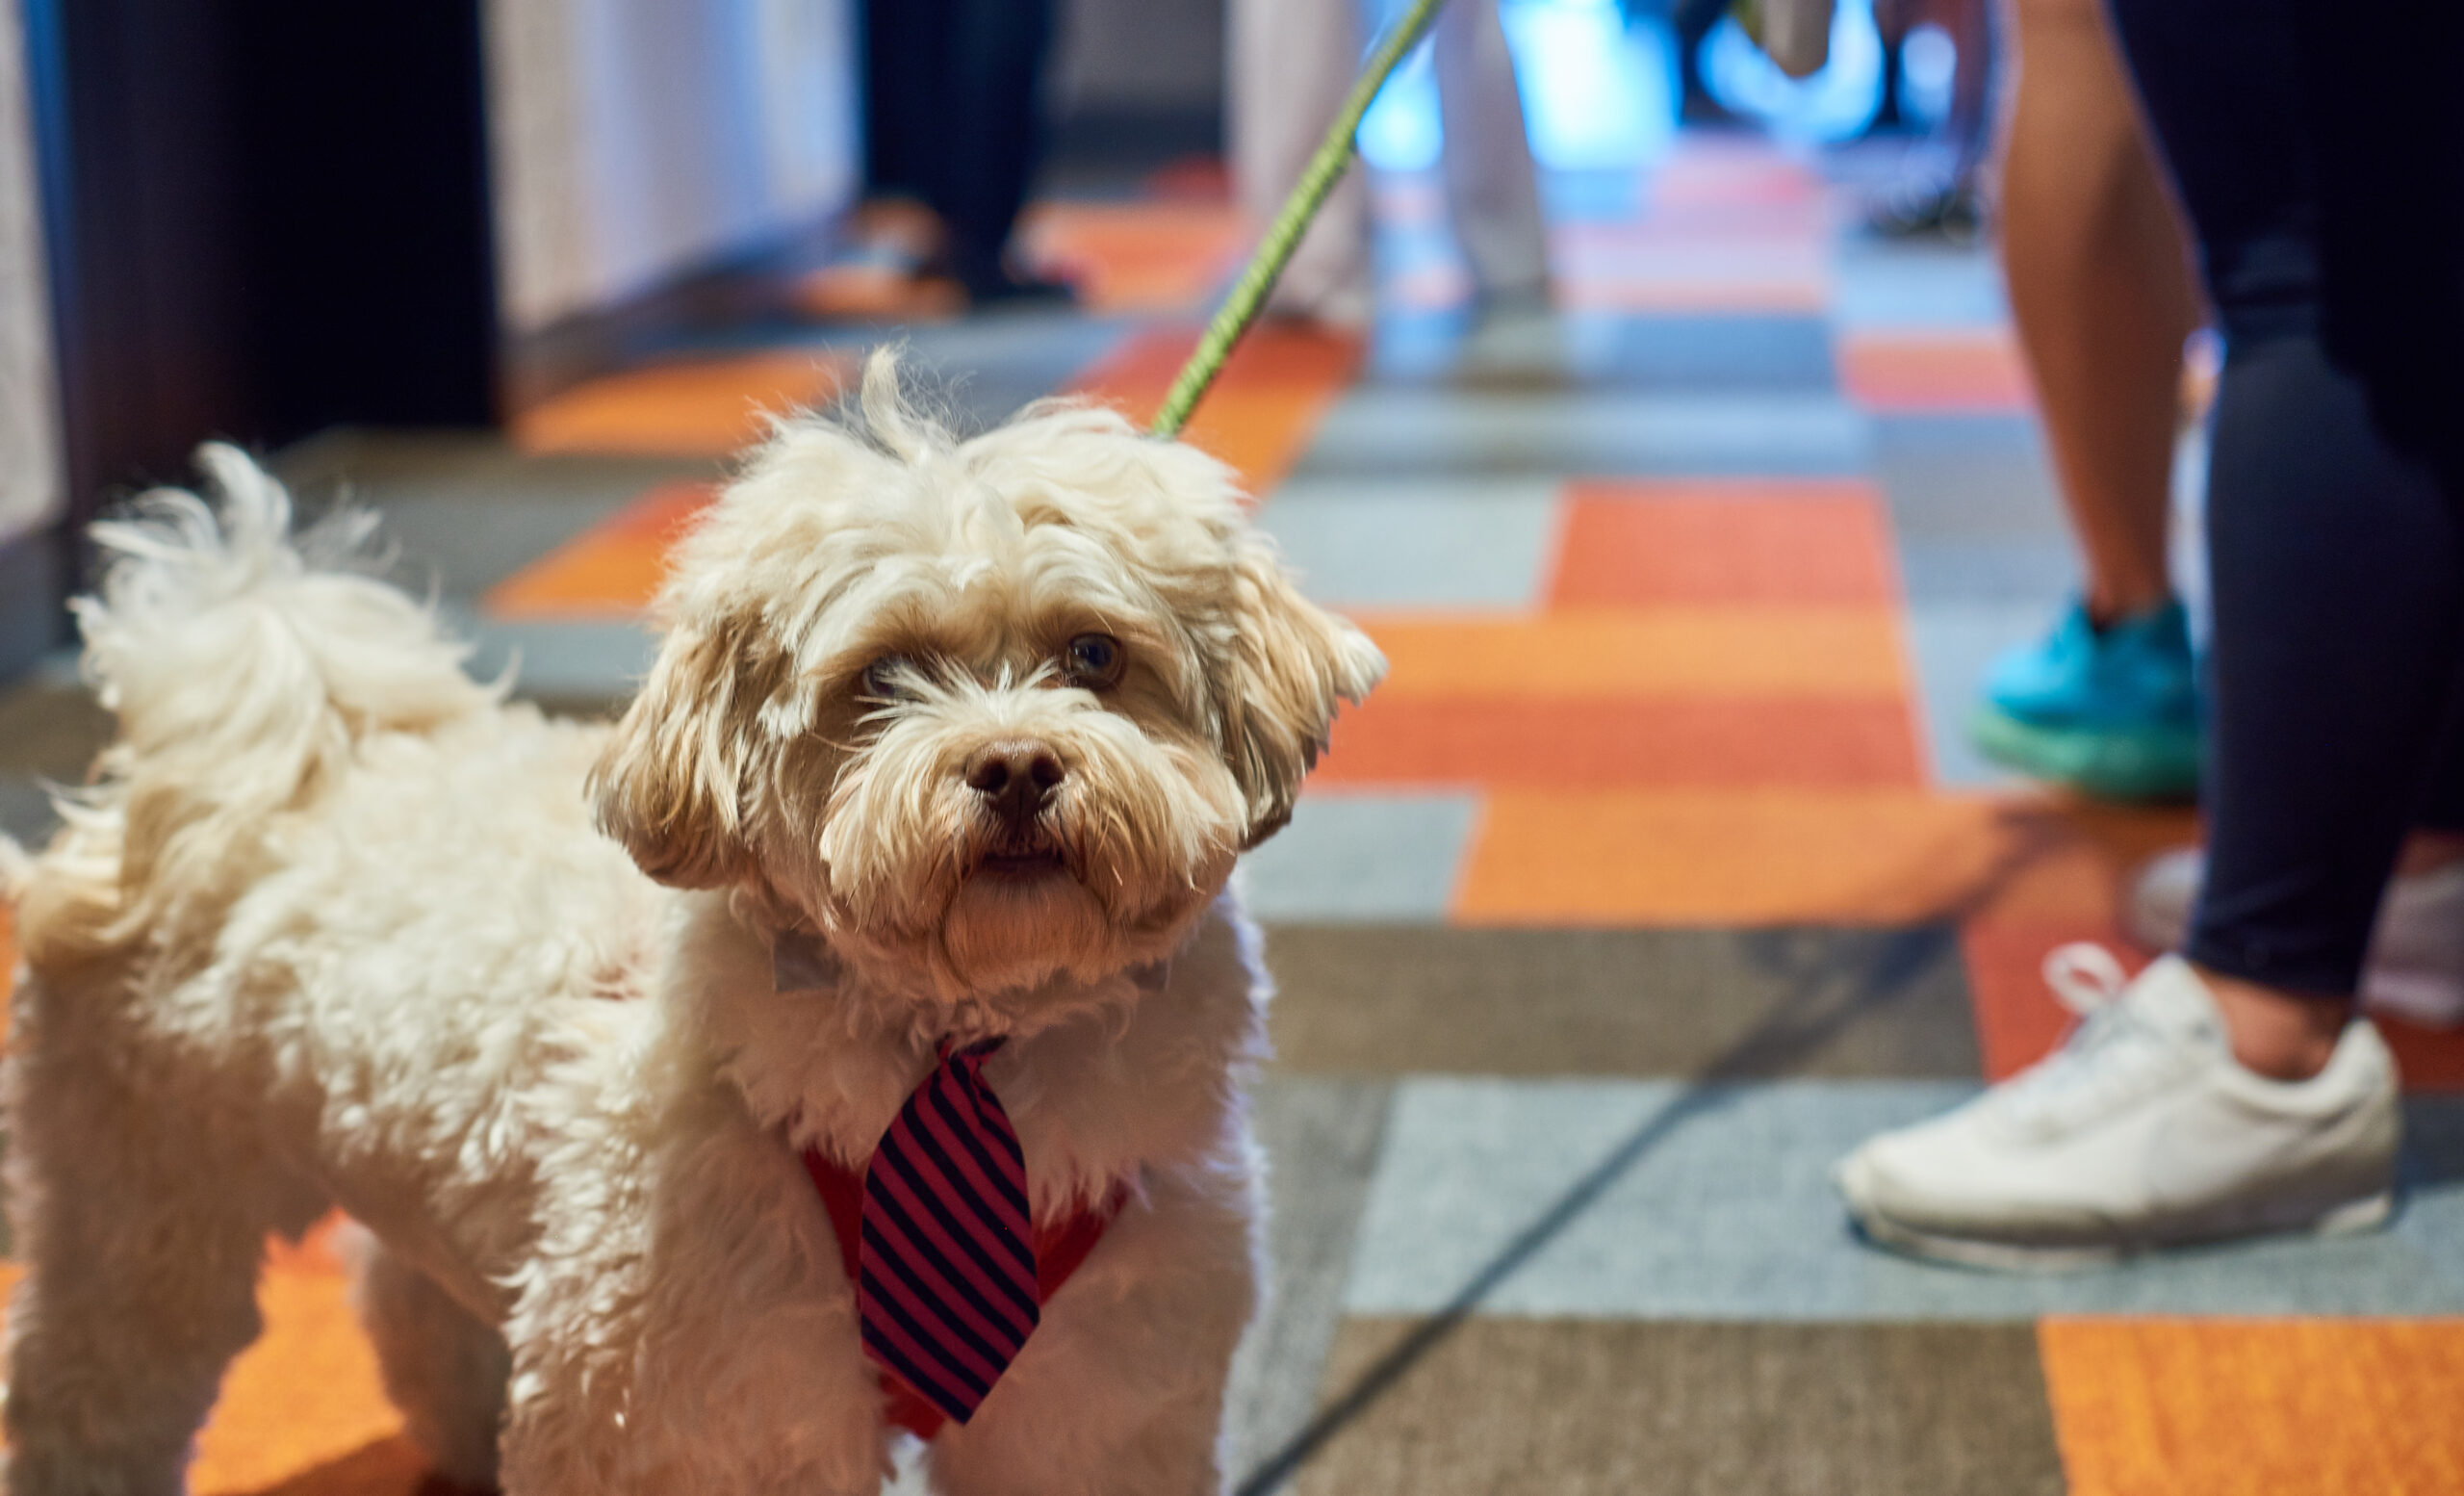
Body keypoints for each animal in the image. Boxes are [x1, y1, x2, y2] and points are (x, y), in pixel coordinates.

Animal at [0, 354, 1389, 1496]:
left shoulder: (1091, 1402)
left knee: (413, 1298)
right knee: (85, 1396)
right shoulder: (691, 1406)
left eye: (1092, 653)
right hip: (139, 1214)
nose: (1013, 767)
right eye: (882, 678)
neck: (960, 1047)